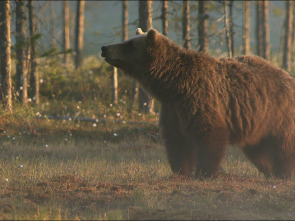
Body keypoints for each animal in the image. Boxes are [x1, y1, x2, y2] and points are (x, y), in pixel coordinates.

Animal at [101, 28, 295, 179]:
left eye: (128, 44)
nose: (104, 48)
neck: (172, 84)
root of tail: (288, 77)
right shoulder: (173, 109)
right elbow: (176, 140)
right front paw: (180, 171)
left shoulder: (199, 98)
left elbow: (209, 134)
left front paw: (204, 173)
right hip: (257, 122)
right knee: (258, 150)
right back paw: (269, 171)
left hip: (278, 114)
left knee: (282, 146)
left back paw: (283, 172)